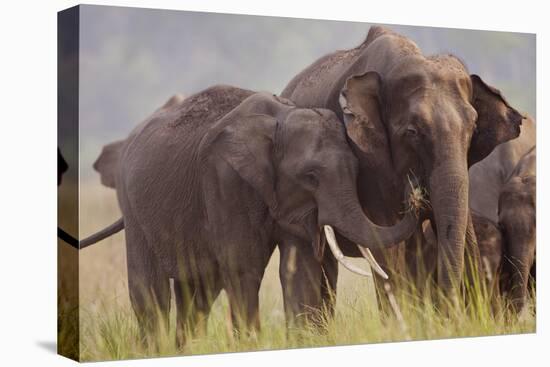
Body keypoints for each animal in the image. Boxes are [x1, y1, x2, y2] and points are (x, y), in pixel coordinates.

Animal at [83, 85, 422, 346]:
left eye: (356, 171)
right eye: (311, 176)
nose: (414, 189)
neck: (279, 119)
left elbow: (299, 269)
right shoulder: (225, 180)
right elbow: (243, 267)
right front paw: (251, 345)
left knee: (197, 292)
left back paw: (186, 349)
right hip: (133, 208)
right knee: (151, 291)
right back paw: (156, 350)